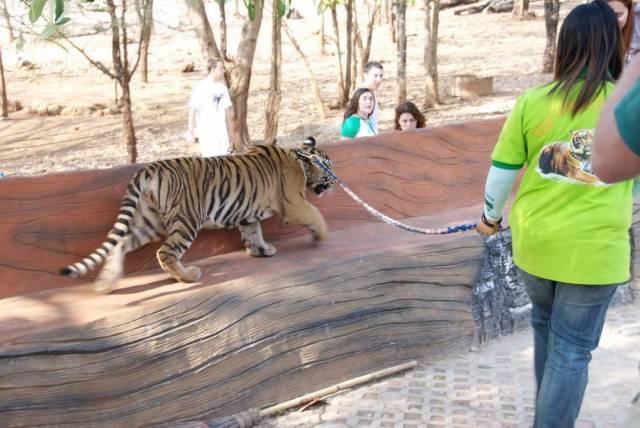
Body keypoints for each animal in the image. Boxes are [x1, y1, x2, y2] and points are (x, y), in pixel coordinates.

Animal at [61, 137, 336, 294]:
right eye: (329, 168)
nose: (334, 182)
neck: (300, 159)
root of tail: (148, 169)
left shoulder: (248, 216)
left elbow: (254, 232)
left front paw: (262, 250)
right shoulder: (294, 205)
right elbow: (316, 215)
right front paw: (321, 237)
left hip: (148, 221)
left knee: (120, 244)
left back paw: (105, 283)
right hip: (187, 219)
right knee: (165, 252)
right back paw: (188, 276)